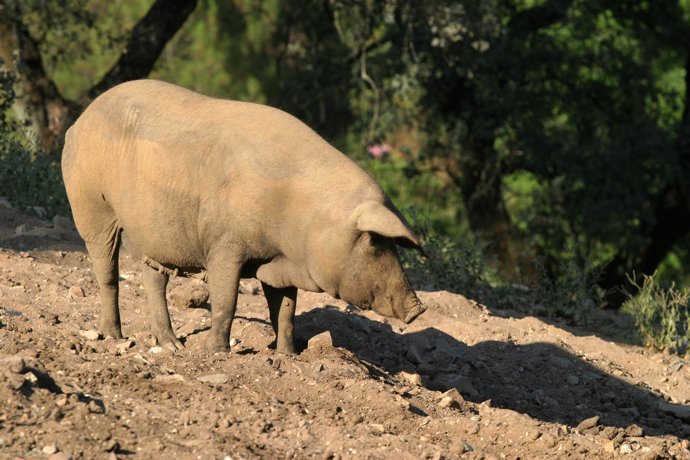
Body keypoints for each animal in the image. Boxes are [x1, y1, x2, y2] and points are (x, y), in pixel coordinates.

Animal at [61, 80, 424, 352]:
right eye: (375, 242)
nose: (419, 309)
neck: (303, 219)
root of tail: (77, 122)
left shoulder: (279, 265)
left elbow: (286, 309)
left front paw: (288, 354)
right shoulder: (225, 244)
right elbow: (227, 299)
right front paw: (217, 352)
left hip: (155, 233)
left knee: (153, 278)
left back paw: (173, 345)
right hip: (92, 206)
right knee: (107, 273)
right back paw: (114, 336)